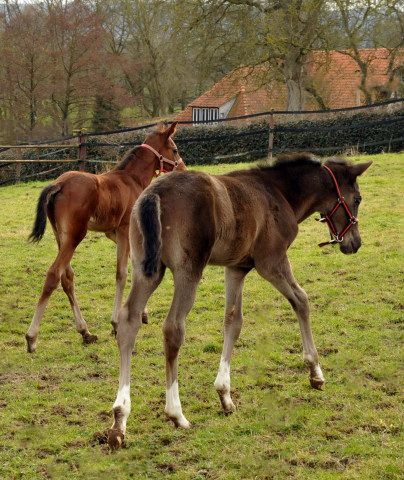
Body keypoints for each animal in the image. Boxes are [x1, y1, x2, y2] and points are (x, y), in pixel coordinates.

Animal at [27, 122, 185, 350]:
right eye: (174, 150)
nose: (183, 169)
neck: (132, 179)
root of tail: (59, 184)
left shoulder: (118, 234)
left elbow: (136, 268)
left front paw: (142, 313)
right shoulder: (125, 231)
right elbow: (122, 273)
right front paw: (116, 323)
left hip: (61, 237)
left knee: (67, 277)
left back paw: (85, 331)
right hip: (75, 237)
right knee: (53, 275)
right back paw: (31, 337)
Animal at [108, 155, 372, 450]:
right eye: (357, 199)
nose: (355, 243)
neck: (278, 192)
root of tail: (154, 192)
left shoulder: (236, 267)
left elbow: (233, 321)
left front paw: (224, 395)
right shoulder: (271, 261)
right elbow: (301, 300)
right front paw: (316, 372)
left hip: (147, 270)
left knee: (129, 321)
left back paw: (120, 418)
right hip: (188, 271)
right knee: (173, 328)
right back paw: (176, 413)